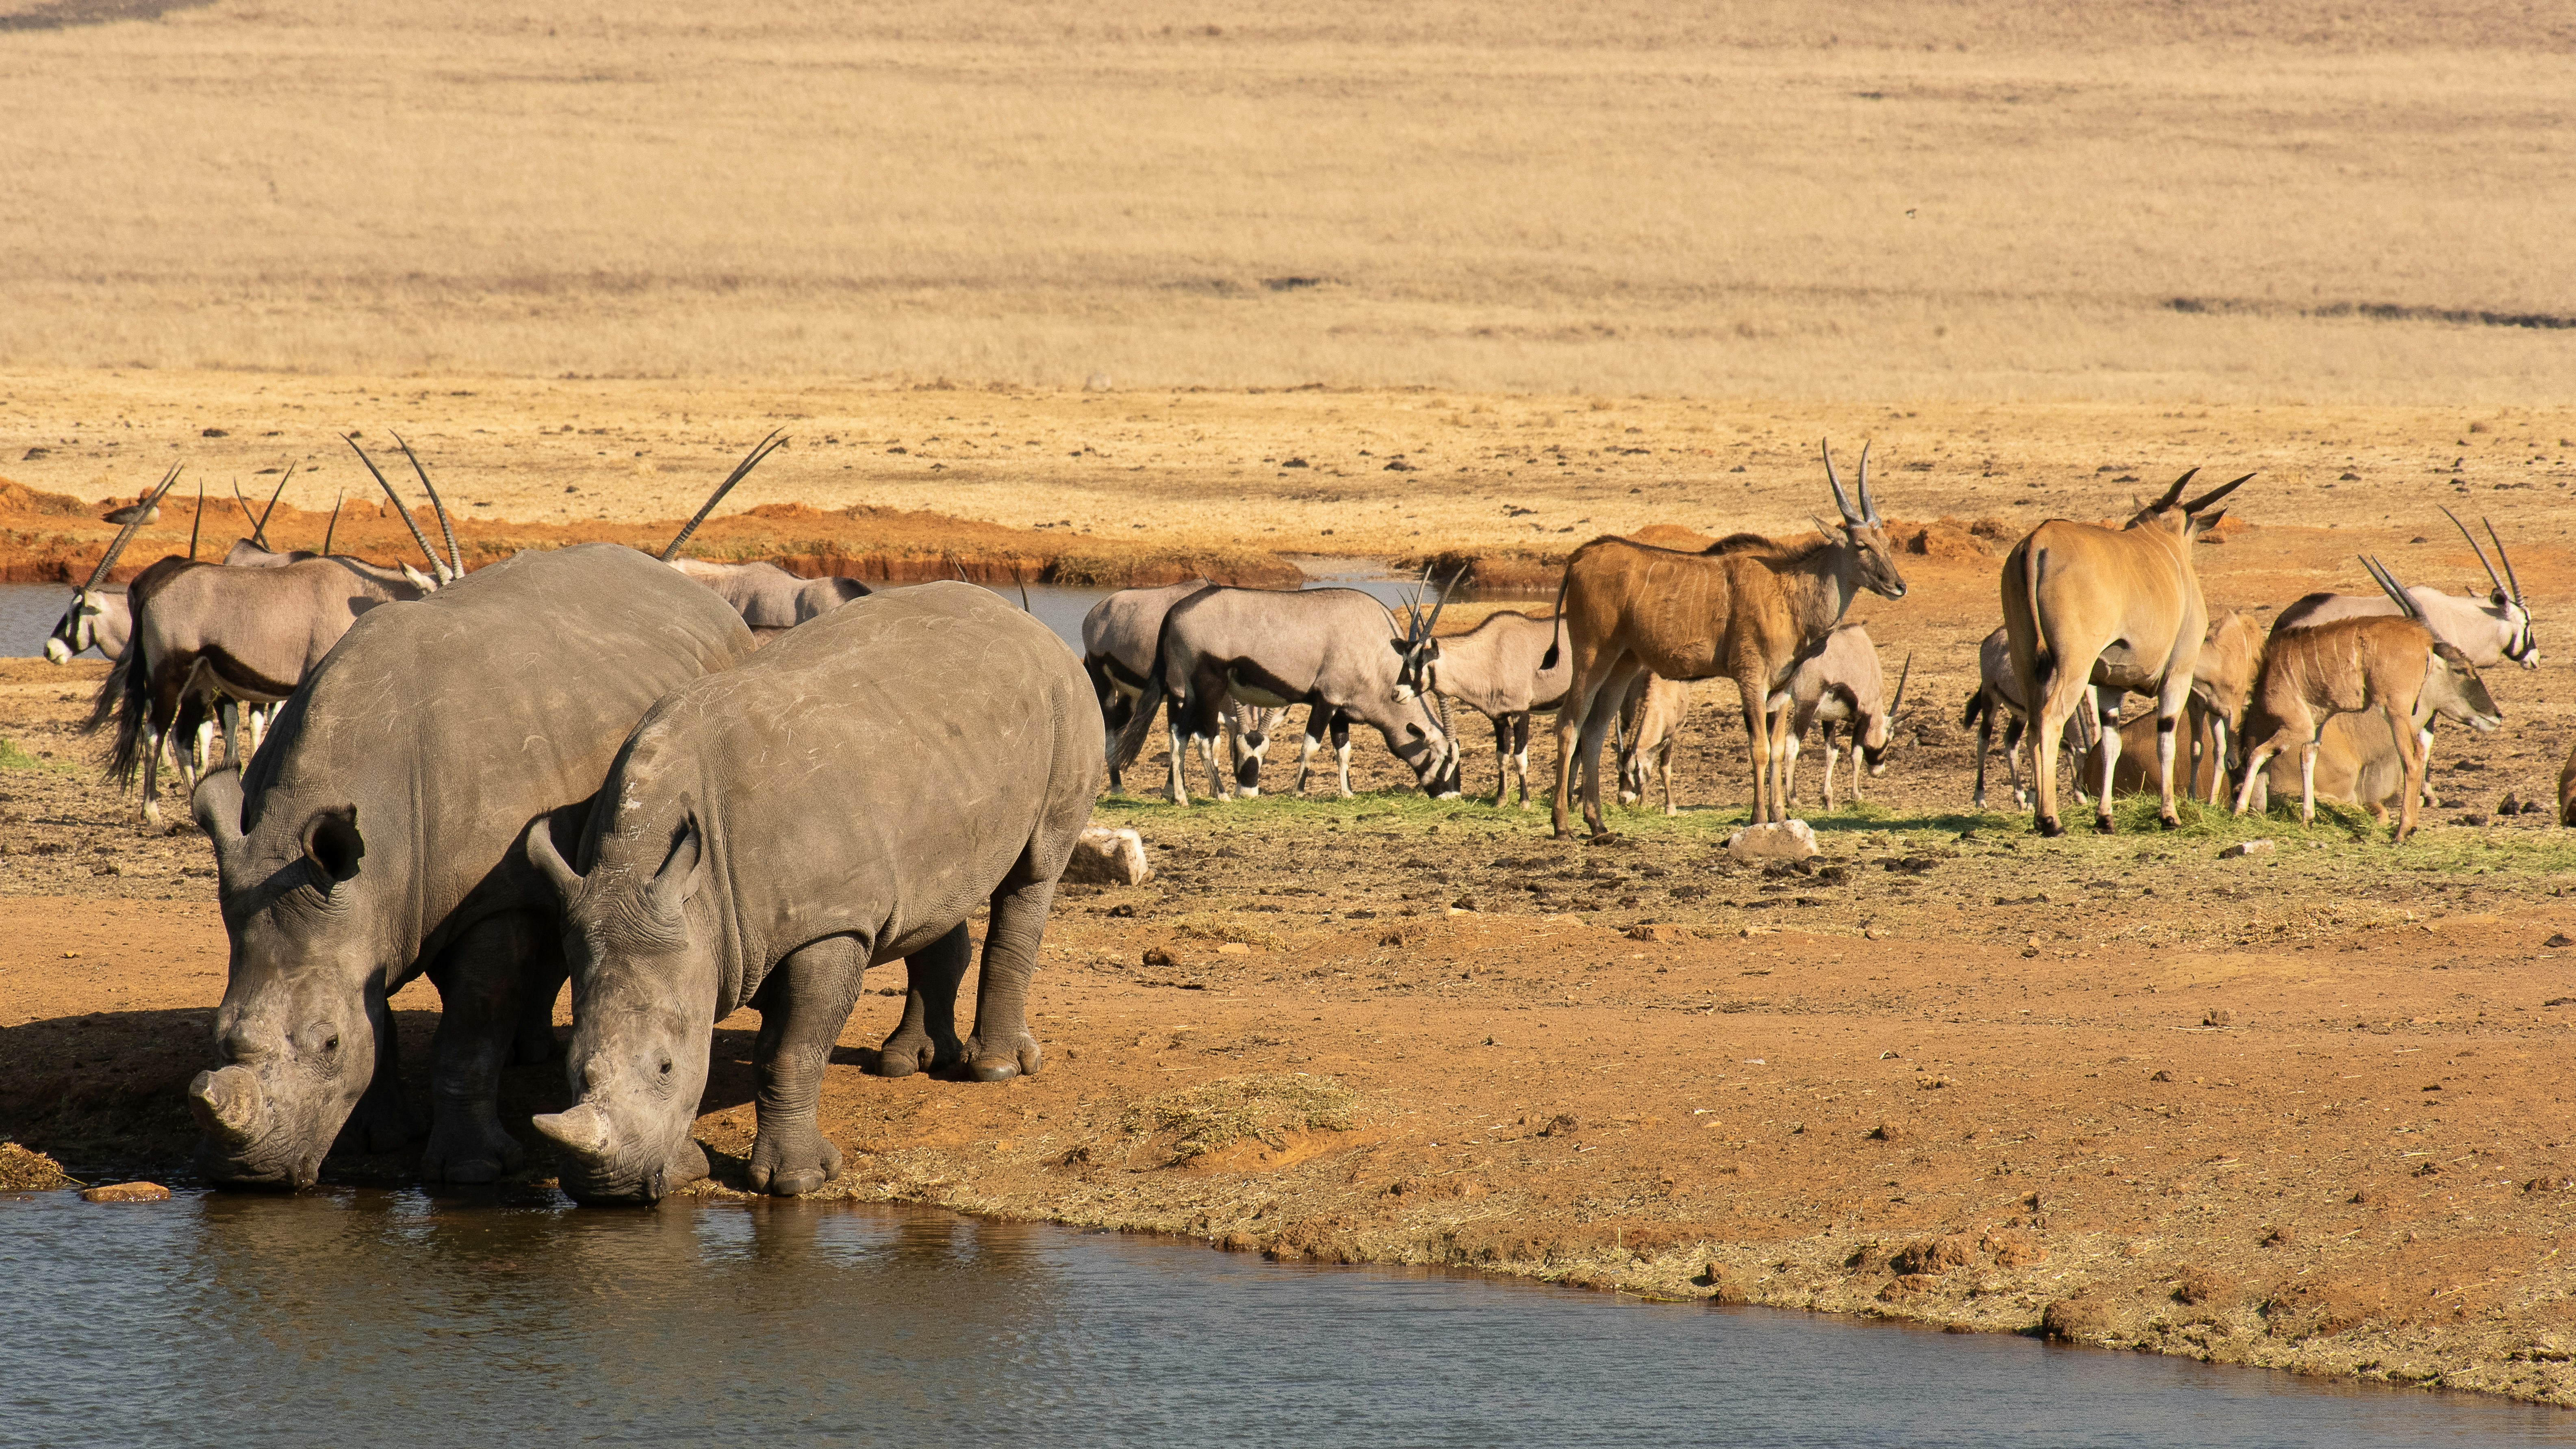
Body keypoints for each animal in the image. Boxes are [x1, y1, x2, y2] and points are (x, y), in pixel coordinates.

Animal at [187, 543, 755, 1189]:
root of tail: (695, 592)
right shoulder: (353, 903)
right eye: (217, 1034)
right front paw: (380, 1137)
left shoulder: (492, 899)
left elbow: (470, 1030)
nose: (246, 1177)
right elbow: (375, 1016)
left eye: (328, 1043)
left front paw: (472, 1169)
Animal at [521, 581, 1103, 1203]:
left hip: (1063, 699)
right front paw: (683, 1171)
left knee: (1034, 871)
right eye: (572, 1069)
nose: (610, 1191)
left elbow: (789, 1051)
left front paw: (796, 1182)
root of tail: (1030, 625)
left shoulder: (829, 921)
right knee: (935, 891)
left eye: (665, 1067)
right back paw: (907, 1062)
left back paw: (995, 1069)